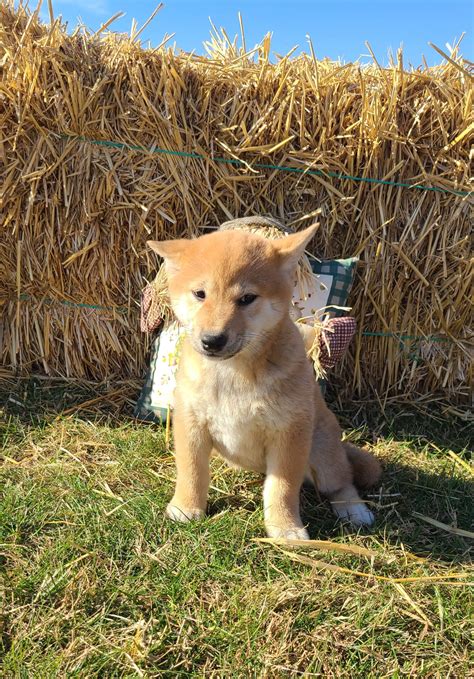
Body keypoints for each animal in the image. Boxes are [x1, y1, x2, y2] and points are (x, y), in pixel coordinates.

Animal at [148, 226, 382, 540]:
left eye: (247, 298)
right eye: (200, 294)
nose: (212, 340)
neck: (233, 374)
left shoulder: (289, 433)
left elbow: (282, 488)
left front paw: (285, 528)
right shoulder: (191, 422)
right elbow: (191, 471)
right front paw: (186, 506)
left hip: (324, 451)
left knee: (342, 481)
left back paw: (354, 509)